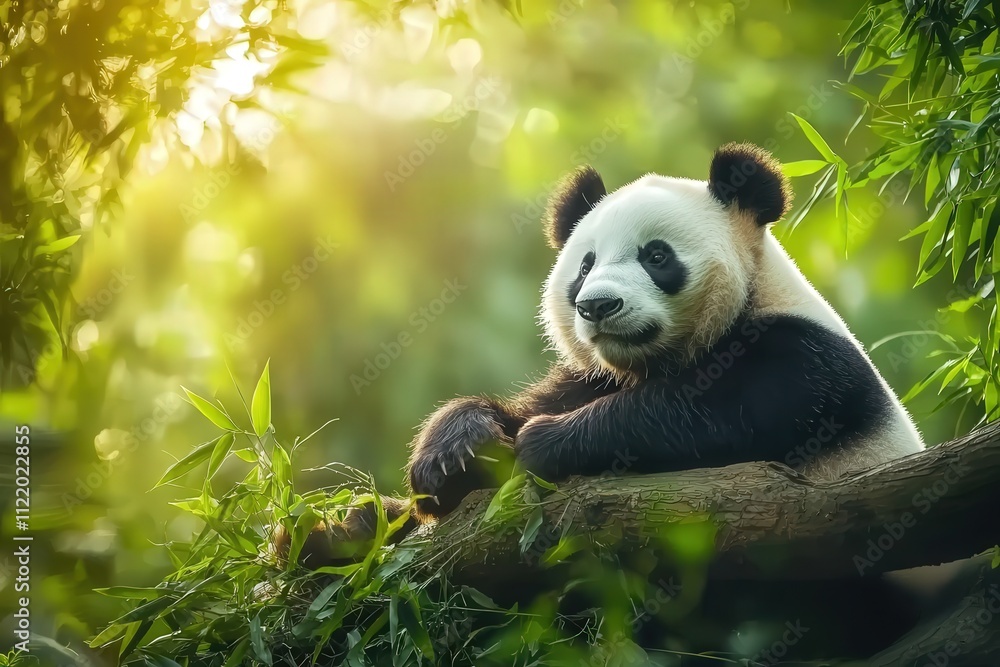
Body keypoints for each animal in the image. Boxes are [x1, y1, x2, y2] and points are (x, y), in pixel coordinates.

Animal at [279, 142, 924, 567]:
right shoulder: (591, 375)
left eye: (656, 256)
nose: (598, 306)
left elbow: (728, 413)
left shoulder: (808, 359)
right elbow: (511, 416)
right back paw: (334, 533)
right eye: (584, 265)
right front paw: (454, 451)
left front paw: (547, 442)